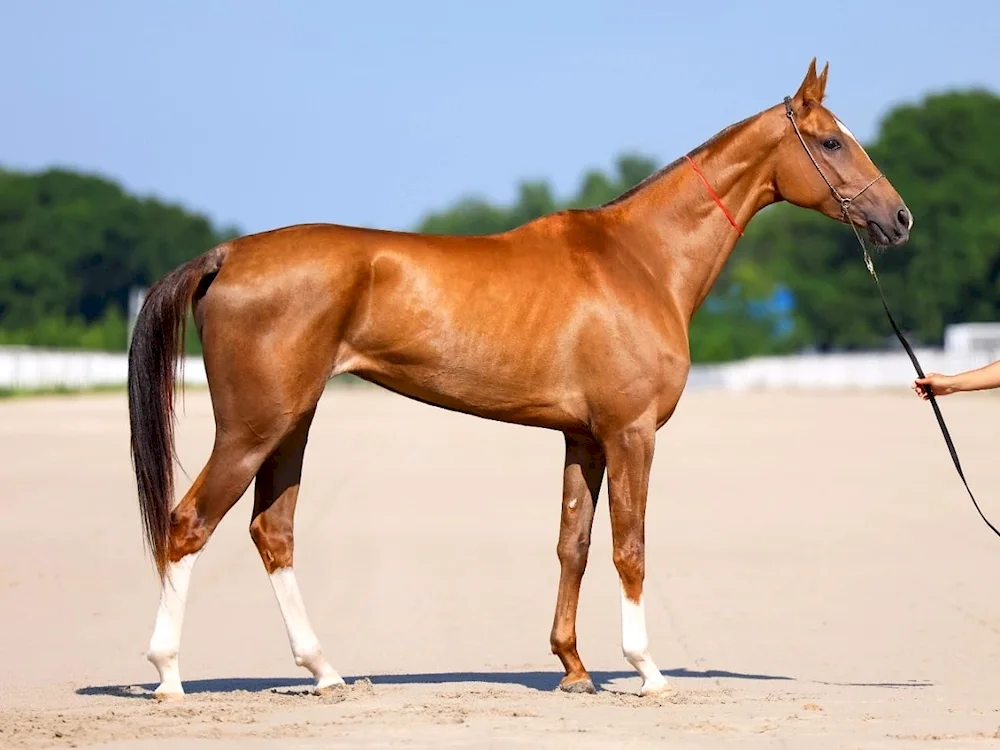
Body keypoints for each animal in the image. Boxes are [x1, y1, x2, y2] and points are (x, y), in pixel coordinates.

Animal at [127, 58, 916, 700]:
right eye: (832, 141)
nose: (900, 218)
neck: (641, 259)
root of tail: (225, 255)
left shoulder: (583, 439)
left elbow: (575, 544)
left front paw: (573, 668)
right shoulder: (630, 434)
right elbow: (630, 546)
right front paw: (647, 669)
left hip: (291, 424)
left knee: (273, 532)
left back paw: (326, 672)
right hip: (254, 427)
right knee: (188, 525)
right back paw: (168, 676)